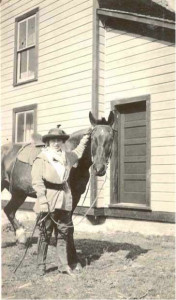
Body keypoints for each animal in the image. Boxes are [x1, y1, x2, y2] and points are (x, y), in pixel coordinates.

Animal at [1, 111, 115, 268]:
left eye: (111, 138)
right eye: (93, 137)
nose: (99, 168)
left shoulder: (75, 196)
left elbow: (67, 226)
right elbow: (67, 226)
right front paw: (73, 260)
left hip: (19, 193)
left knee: (9, 210)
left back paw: (22, 239)